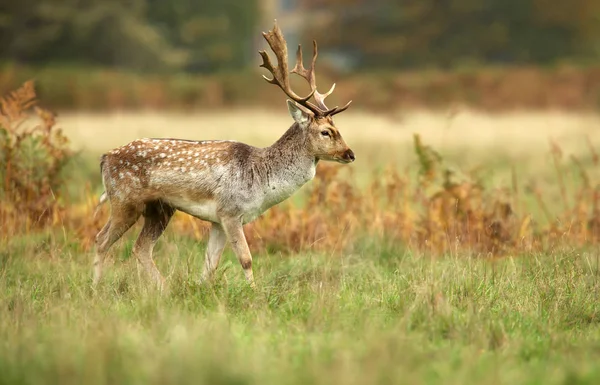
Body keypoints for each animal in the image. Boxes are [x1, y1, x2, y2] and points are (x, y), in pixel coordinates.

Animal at [94, 21, 356, 288]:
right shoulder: (230, 211)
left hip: (160, 208)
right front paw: (255, 292)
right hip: (125, 199)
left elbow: (210, 265)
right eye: (326, 131)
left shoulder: (217, 220)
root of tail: (105, 158)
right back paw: (96, 288)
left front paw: (202, 290)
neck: (262, 182)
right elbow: (246, 259)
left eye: (337, 128)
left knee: (141, 247)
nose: (350, 154)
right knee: (101, 239)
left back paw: (163, 289)